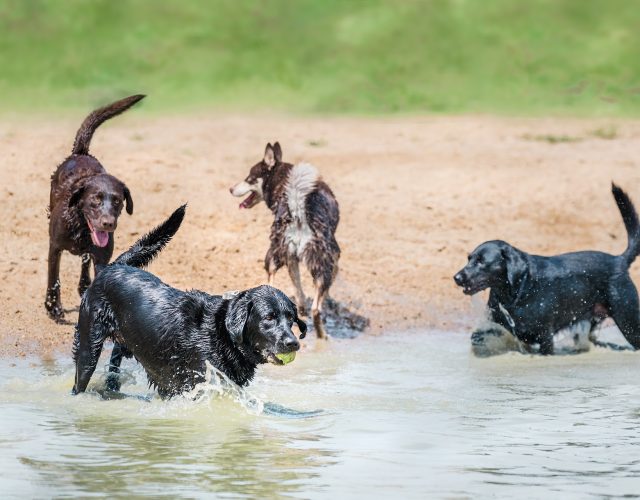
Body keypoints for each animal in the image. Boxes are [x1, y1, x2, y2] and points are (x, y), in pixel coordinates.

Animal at [45, 94, 144, 320]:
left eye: (117, 201)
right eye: (95, 199)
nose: (108, 224)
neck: (80, 225)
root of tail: (81, 153)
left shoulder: (102, 257)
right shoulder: (55, 246)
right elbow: (53, 278)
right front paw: (53, 307)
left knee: (84, 261)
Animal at [72, 204, 308, 398]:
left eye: (291, 319)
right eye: (269, 317)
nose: (293, 343)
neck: (221, 331)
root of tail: (112, 268)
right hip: (88, 349)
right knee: (80, 379)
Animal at [230, 143, 340, 342]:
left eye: (249, 179)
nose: (231, 189)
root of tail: (297, 210)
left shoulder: (291, 258)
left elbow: (297, 286)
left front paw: (301, 306)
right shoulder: (332, 258)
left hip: (276, 251)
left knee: (272, 283)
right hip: (323, 260)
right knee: (316, 309)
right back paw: (322, 334)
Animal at [452, 184, 640, 356]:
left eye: (482, 261)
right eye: (469, 258)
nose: (457, 277)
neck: (516, 292)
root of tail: (619, 260)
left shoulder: (544, 337)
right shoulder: (498, 325)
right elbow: (480, 335)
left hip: (629, 322)